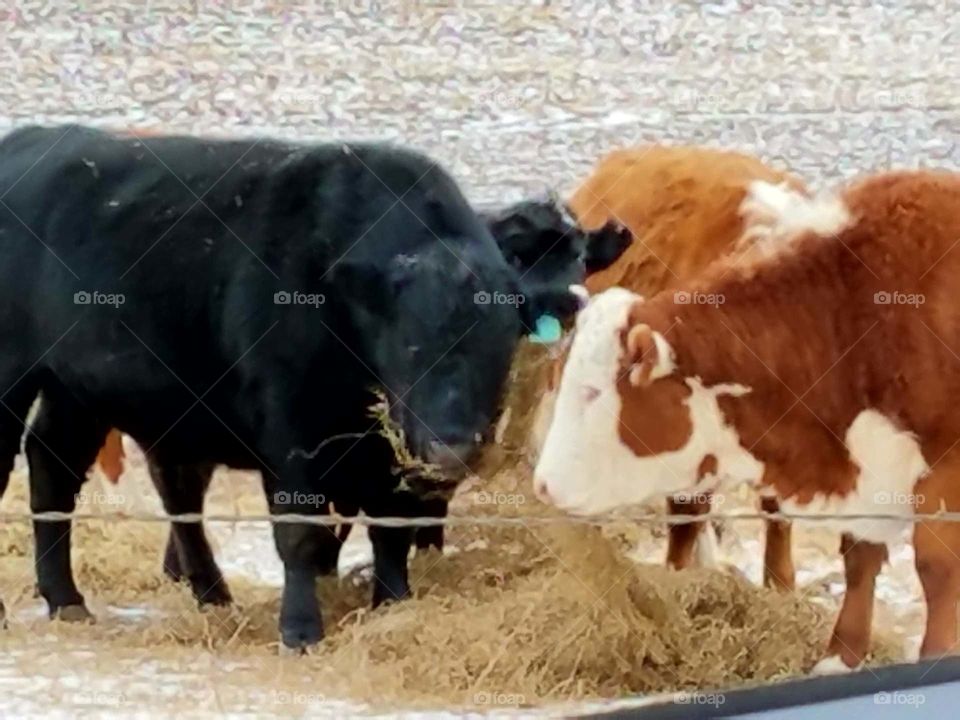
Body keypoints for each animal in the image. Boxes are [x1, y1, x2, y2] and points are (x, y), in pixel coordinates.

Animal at [0, 124, 582, 648]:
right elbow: (302, 535)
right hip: (18, 379)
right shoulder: (292, 438)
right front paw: (301, 630)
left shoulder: (387, 458)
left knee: (60, 467)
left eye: (500, 345)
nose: (452, 447)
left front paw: (392, 607)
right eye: (410, 344)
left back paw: (77, 600)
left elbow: (391, 532)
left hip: (80, 393)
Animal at [534, 170, 960, 671]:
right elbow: (859, 556)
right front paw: (839, 658)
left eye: (591, 392)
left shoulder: (943, 472)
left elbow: (936, 566)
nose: (543, 484)